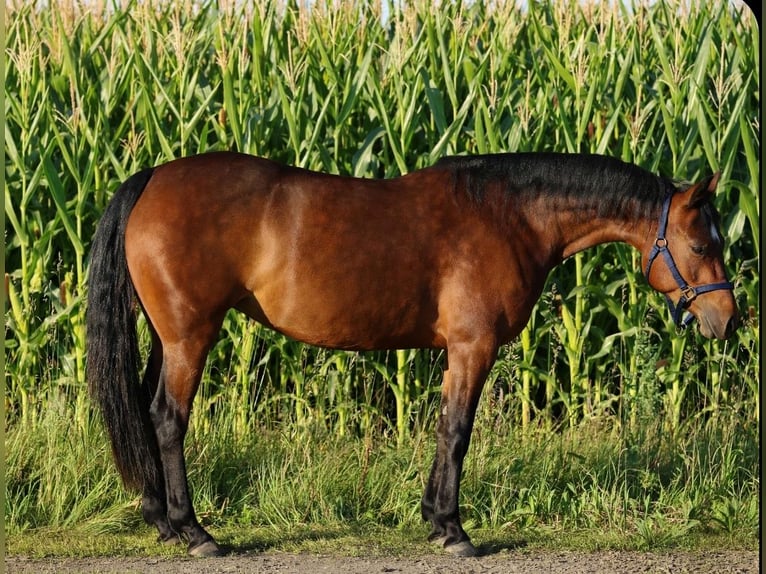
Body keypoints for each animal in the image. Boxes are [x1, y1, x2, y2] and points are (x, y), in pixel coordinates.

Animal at [86, 151, 738, 557]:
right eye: (702, 244)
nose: (728, 320)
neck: (508, 216)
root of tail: (152, 179)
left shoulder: (457, 351)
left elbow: (444, 427)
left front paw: (433, 518)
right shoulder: (473, 347)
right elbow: (457, 432)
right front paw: (453, 529)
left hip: (167, 337)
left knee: (144, 411)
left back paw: (160, 520)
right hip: (189, 337)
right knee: (168, 419)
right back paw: (194, 531)